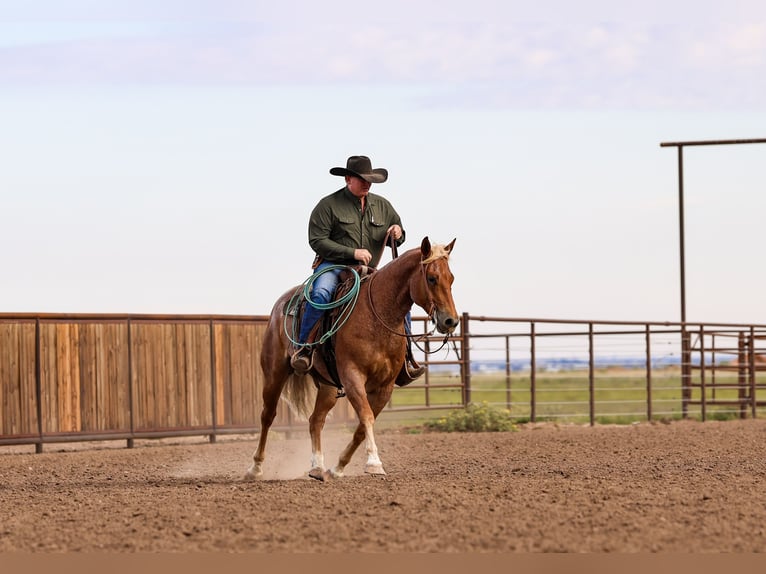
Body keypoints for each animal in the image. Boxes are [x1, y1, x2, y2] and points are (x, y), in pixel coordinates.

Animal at [245, 236, 459, 481]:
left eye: (451, 278)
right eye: (432, 278)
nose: (451, 321)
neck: (377, 316)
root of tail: (279, 306)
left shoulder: (385, 387)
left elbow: (360, 429)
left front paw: (338, 467)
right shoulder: (352, 376)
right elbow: (366, 416)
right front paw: (374, 462)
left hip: (328, 387)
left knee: (315, 420)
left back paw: (317, 467)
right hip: (274, 374)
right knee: (267, 416)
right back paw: (255, 468)